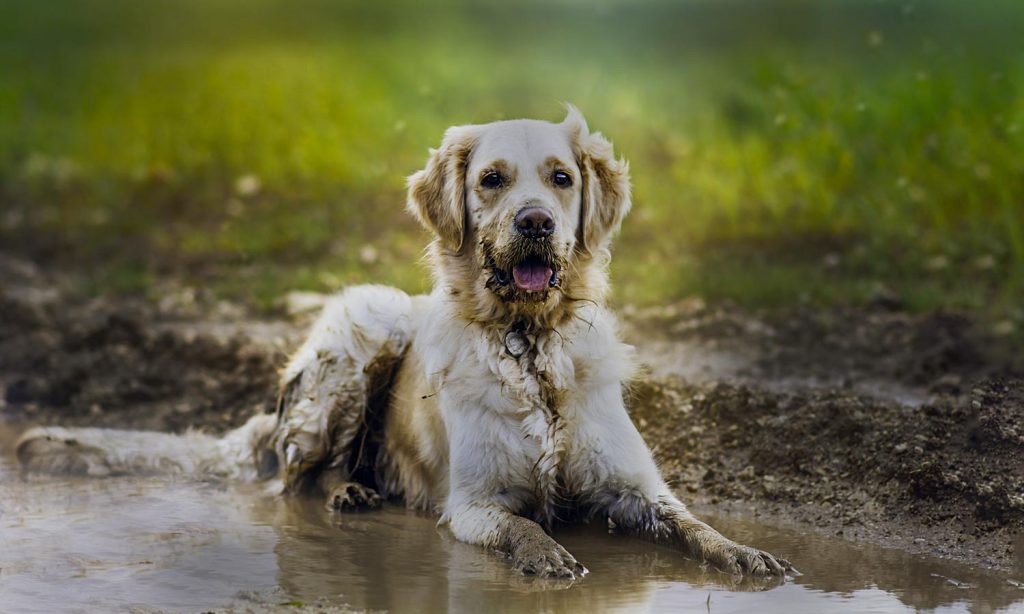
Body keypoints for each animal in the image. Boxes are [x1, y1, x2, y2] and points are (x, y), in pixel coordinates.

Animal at [19, 107, 794, 581]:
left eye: (562, 178)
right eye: (491, 180)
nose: (537, 222)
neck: (530, 346)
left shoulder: (636, 489)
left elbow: (694, 524)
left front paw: (746, 553)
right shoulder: (475, 504)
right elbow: (524, 529)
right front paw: (548, 557)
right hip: (365, 332)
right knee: (292, 481)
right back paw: (349, 492)